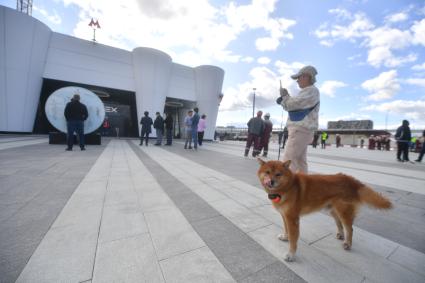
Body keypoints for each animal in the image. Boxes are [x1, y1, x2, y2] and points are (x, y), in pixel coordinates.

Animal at [255, 159, 390, 262]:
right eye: (267, 172)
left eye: (278, 174)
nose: (271, 181)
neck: (288, 187)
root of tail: (352, 180)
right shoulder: (285, 216)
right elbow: (286, 229)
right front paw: (285, 237)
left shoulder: (293, 219)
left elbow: (293, 240)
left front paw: (291, 255)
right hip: (333, 211)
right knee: (340, 224)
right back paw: (341, 235)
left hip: (343, 212)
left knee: (350, 228)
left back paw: (348, 243)